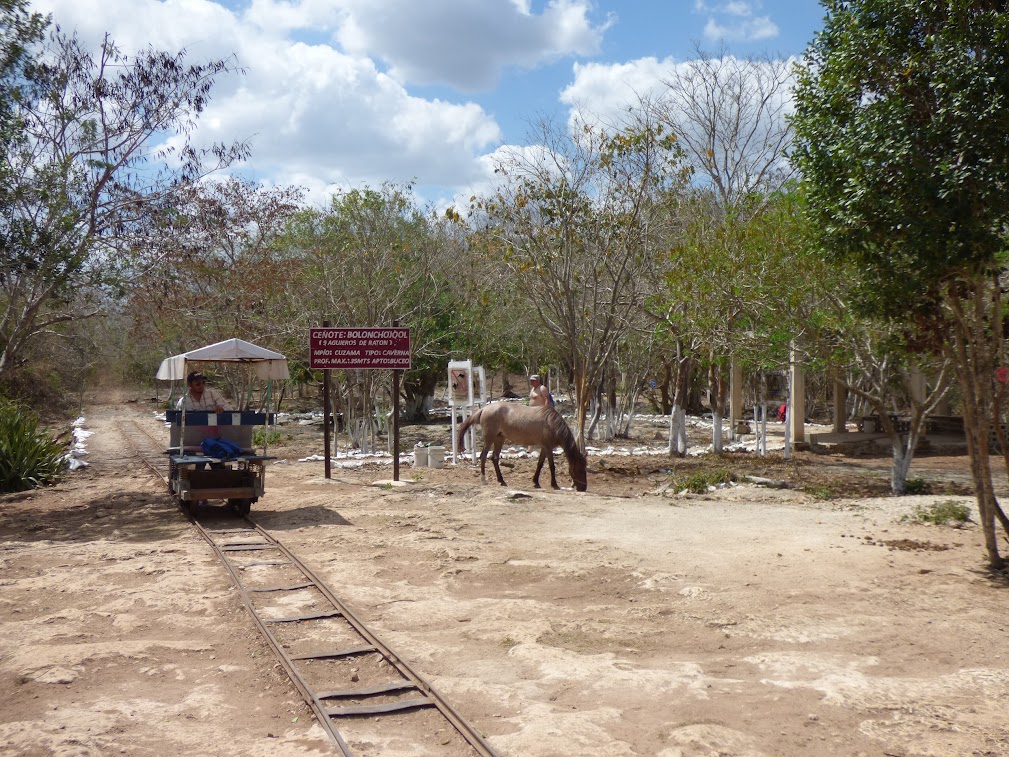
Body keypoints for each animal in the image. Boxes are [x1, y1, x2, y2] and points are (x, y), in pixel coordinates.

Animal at [454, 403, 589, 492]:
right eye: (580, 469)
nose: (583, 488)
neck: (552, 423)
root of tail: (484, 409)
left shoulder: (544, 448)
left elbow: (540, 464)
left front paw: (536, 482)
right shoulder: (548, 447)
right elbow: (551, 466)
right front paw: (554, 484)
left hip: (499, 439)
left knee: (495, 457)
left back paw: (502, 481)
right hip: (489, 438)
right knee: (483, 456)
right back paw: (484, 479)